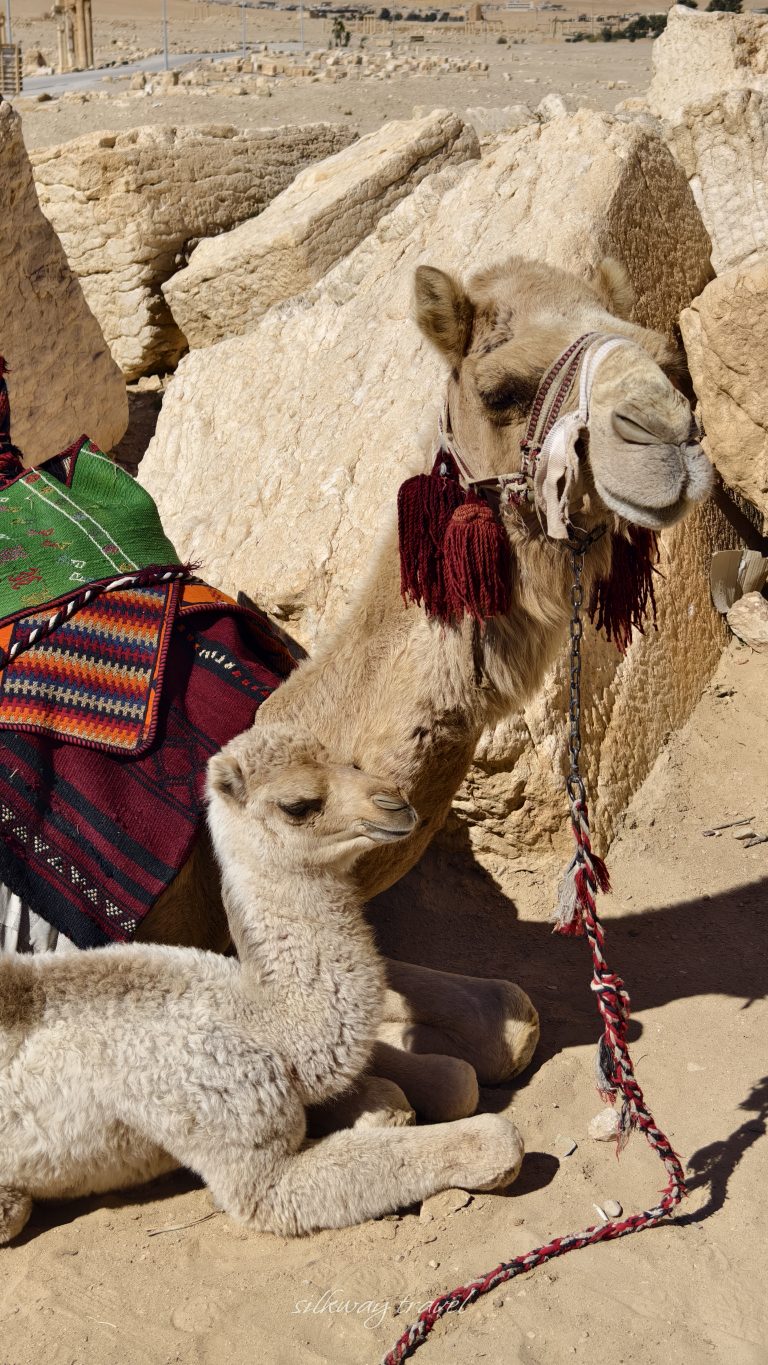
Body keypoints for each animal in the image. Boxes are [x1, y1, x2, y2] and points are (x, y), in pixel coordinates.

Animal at [0, 726, 525, 1245]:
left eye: (351, 762)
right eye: (298, 805)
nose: (395, 805)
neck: (261, 1019)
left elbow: (456, 1081)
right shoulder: (235, 1122)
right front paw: (485, 1141)